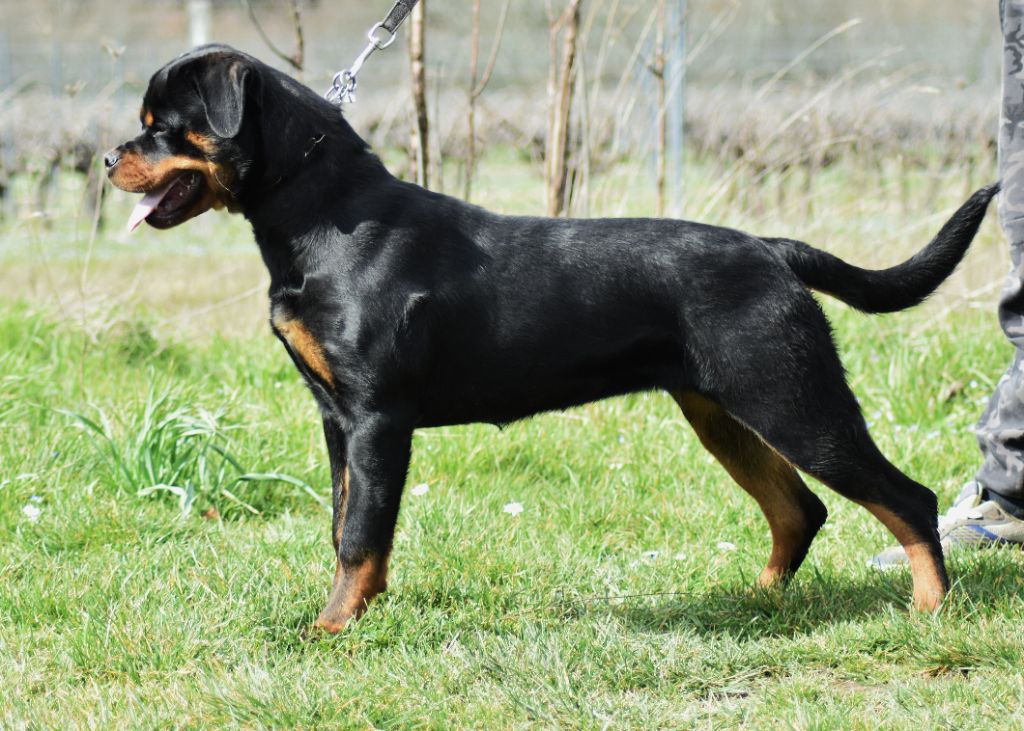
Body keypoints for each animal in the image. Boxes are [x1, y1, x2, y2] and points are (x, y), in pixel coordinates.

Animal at [106, 44, 998, 632]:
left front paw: (331, 630)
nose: (111, 155)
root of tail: (772, 248)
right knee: (799, 506)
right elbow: (345, 523)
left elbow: (359, 532)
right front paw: (357, 612)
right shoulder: (336, 419)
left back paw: (929, 607)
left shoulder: (377, 418)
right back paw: (756, 599)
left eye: (165, 127)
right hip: (721, 408)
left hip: (792, 397)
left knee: (902, 497)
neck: (322, 216)